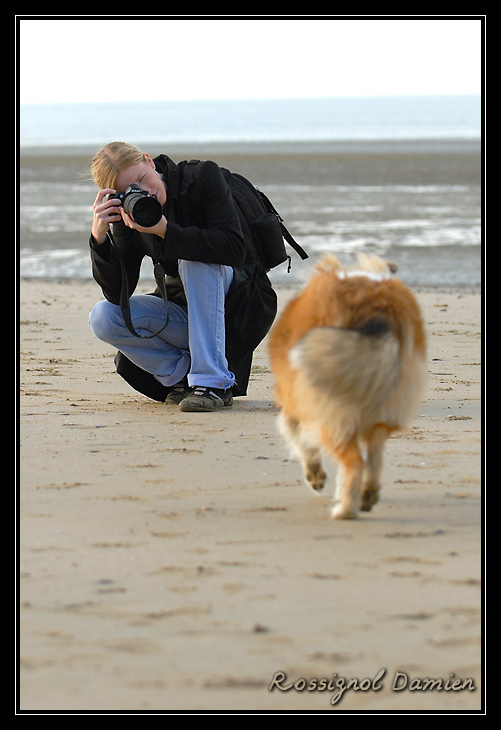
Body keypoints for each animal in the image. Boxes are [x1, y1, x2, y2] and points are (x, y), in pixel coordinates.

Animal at [268, 255, 428, 516]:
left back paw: (345, 510)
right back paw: (367, 495)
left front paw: (315, 476)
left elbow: (297, 434)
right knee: (374, 456)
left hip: (331, 410)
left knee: (354, 462)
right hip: (386, 404)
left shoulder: (295, 402)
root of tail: (380, 307)